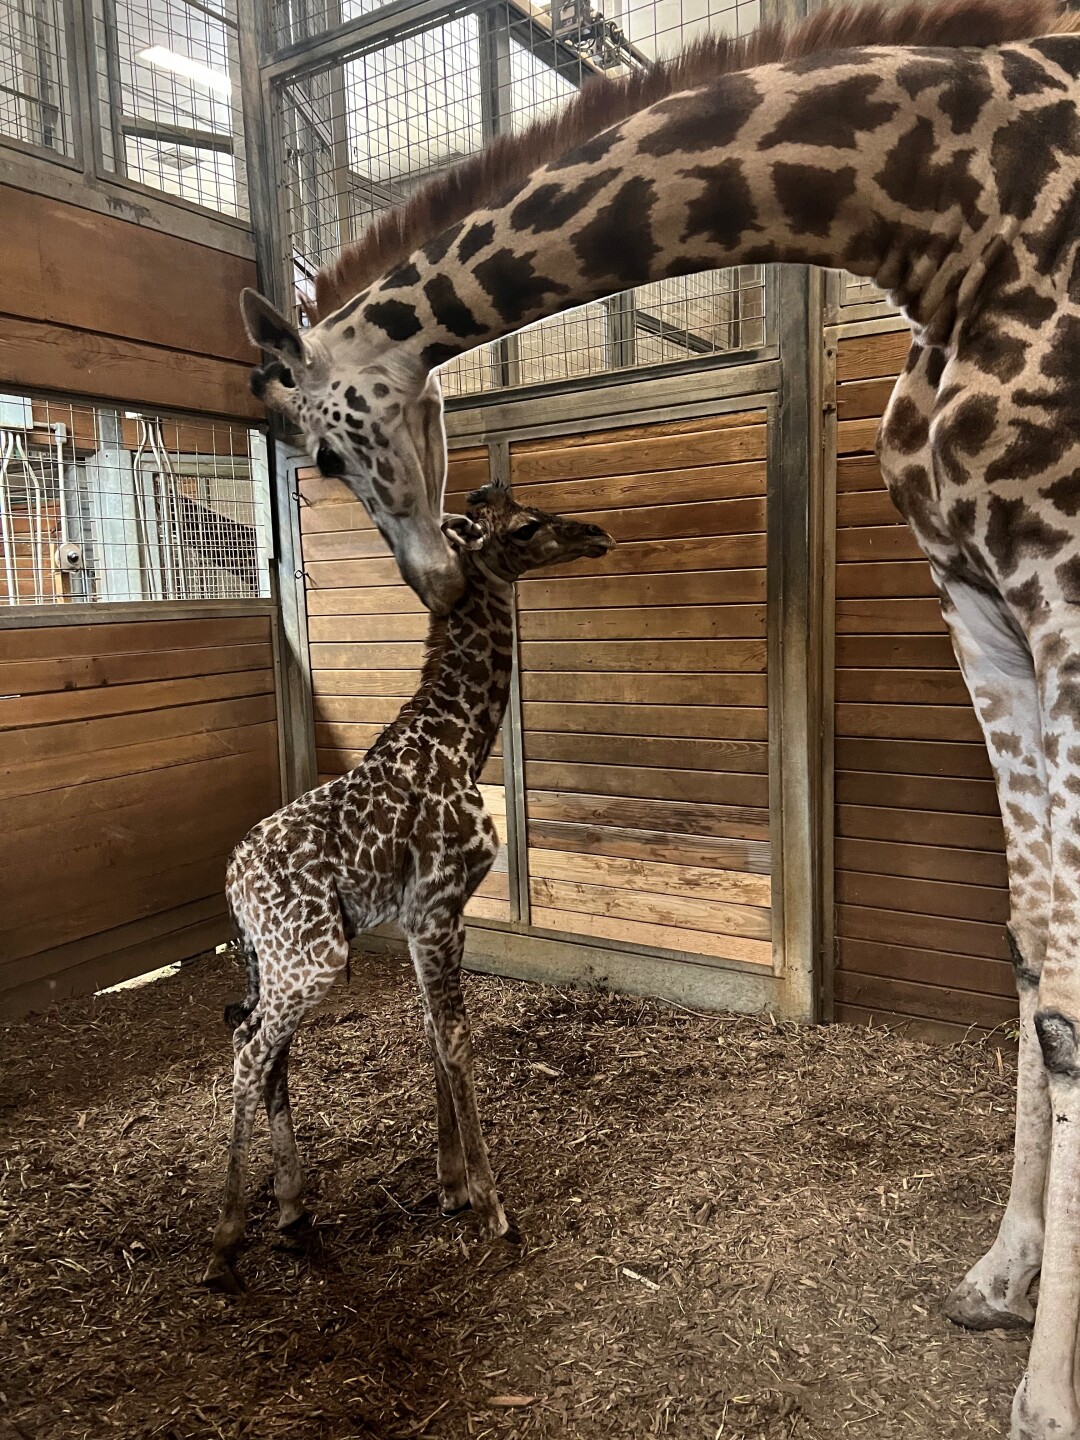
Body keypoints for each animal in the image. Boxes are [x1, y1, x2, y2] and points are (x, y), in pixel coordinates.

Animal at [203, 484, 614, 1293]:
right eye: (526, 528)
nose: (596, 533)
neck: (461, 742)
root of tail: (231, 887)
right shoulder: (433, 911)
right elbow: (455, 1040)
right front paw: (493, 1208)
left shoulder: (441, 916)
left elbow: (431, 1032)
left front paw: (451, 1185)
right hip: (314, 956)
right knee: (249, 1048)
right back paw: (228, 1241)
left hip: (277, 960)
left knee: (262, 1045)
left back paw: (292, 1208)